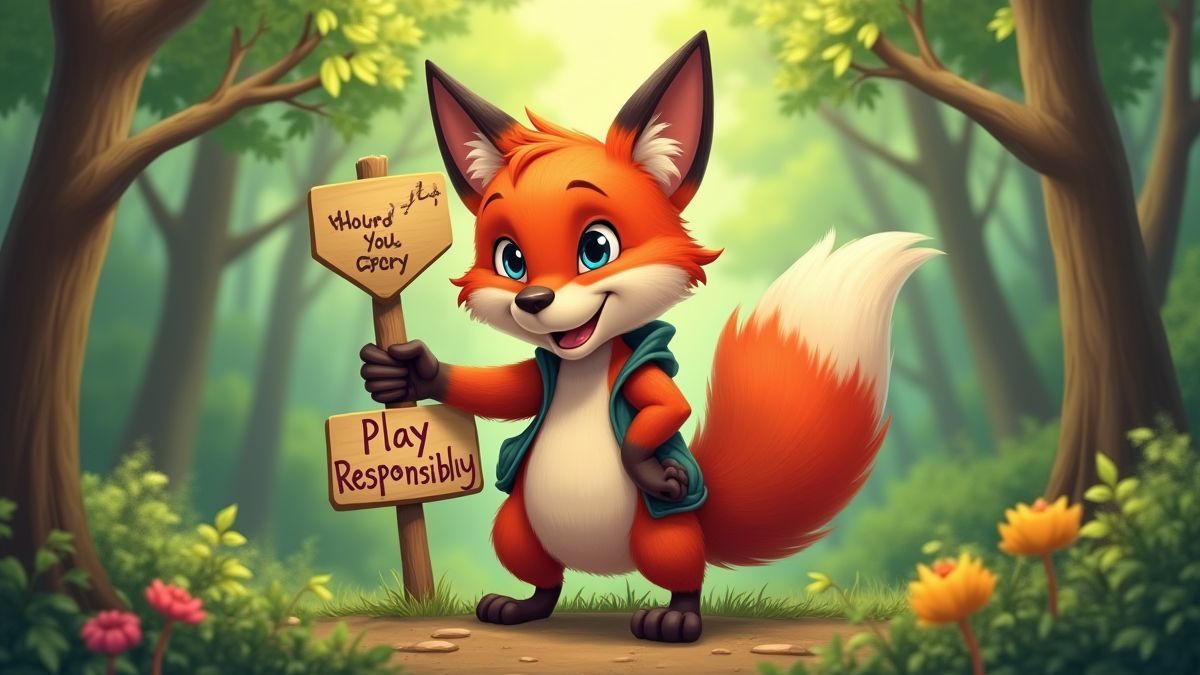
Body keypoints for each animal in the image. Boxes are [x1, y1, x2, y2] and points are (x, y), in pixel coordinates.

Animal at [359, 31, 939, 643]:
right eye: (510, 259)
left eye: (597, 248)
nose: (533, 300)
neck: (585, 365)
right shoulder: (546, 368)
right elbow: (507, 393)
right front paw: (409, 371)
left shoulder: (644, 368)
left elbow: (664, 407)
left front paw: (649, 468)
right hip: (517, 528)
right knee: (546, 583)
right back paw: (519, 606)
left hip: (664, 537)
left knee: (684, 576)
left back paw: (673, 619)